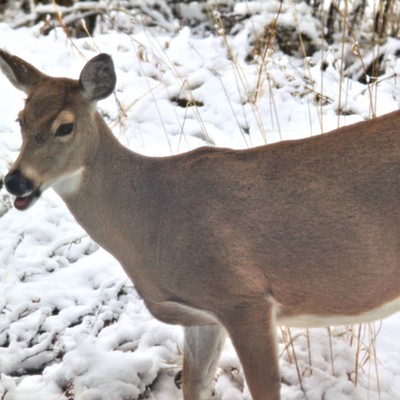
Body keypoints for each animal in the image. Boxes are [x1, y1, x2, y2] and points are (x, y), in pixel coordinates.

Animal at [0, 50, 400, 400]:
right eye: (20, 119)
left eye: (65, 126)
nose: (16, 181)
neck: (153, 218)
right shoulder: (202, 316)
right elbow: (195, 385)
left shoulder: (243, 297)